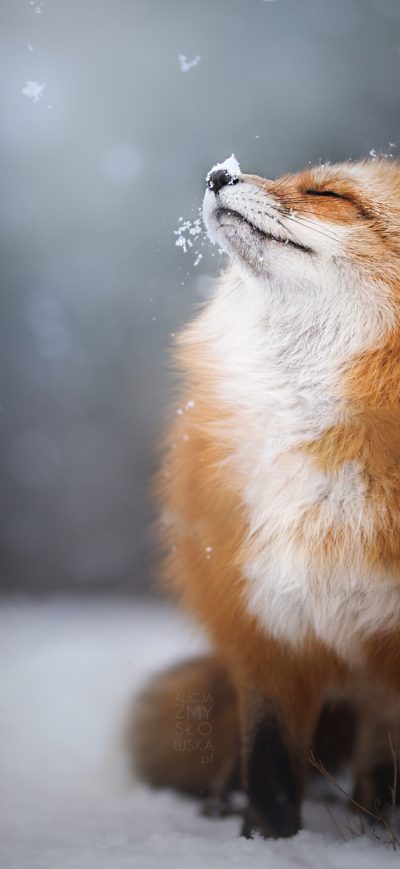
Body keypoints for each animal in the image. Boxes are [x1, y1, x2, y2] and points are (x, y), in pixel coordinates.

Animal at [131, 155, 400, 838]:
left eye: (329, 193)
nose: (218, 174)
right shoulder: (267, 623)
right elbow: (271, 763)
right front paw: (265, 841)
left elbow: (384, 767)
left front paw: (377, 834)